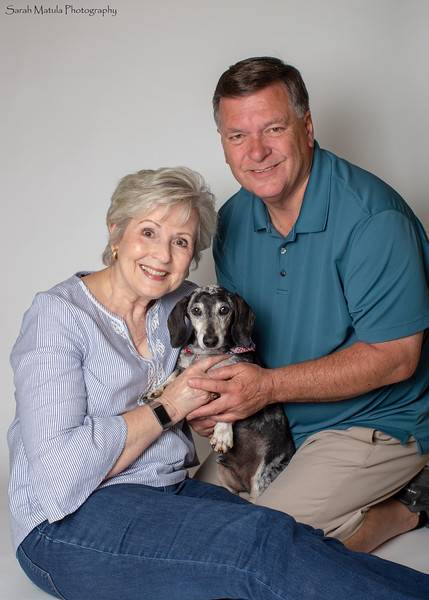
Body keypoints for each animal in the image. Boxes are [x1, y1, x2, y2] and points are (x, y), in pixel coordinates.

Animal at [165, 284, 294, 496]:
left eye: (224, 309)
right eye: (196, 310)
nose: (210, 340)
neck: (207, 355)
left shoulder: (236, 387)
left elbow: (227, 410)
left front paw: (222, 434)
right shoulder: (186, 367)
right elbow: (176, 373)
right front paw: (157, 390)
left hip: (262, 480)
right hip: (223, 477)